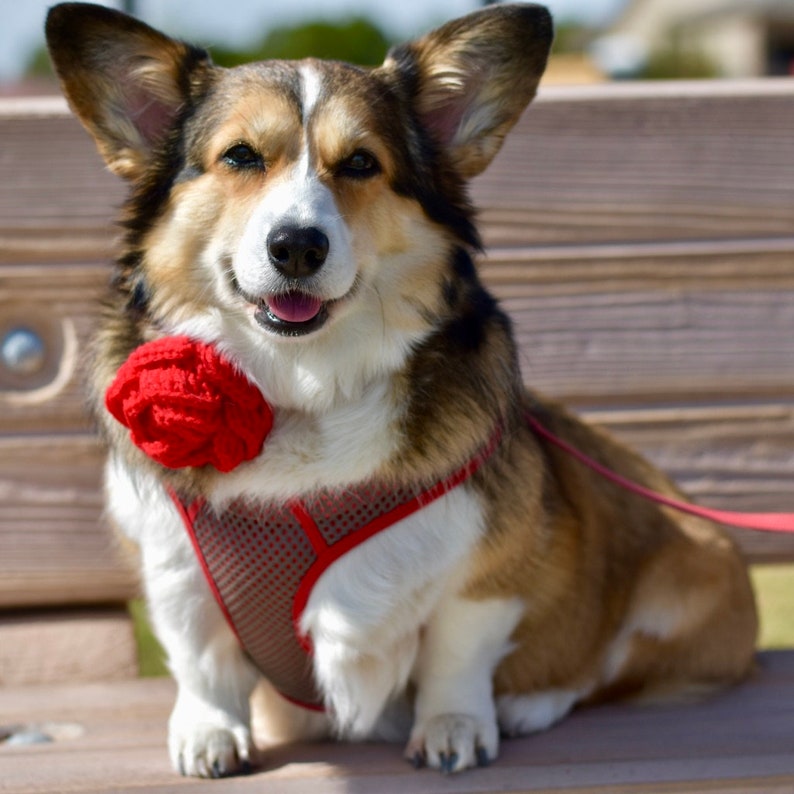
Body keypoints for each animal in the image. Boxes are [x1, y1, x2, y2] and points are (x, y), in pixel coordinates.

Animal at [44, 0, 756, 776]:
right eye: (240, 157)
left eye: (361, 163)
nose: (297, 246)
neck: (304, 385)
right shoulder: (174, 569)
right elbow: (202, 661)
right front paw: (209, 732)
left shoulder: (486, 571)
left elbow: (457, 654)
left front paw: (454, 727)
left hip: (684, 580)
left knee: (603, 670)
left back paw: (528, 704)